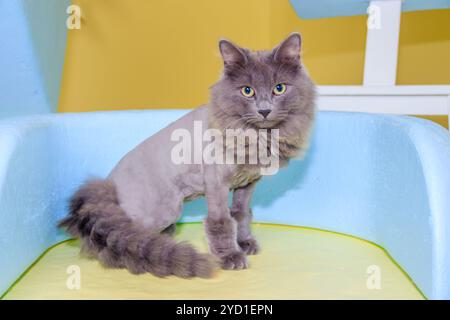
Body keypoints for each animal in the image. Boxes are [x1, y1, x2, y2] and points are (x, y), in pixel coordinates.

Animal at [58, 33, 314, 278]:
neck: (257, 135)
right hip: (164, 210)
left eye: (279, 88)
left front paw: (244, 243)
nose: (264, 110)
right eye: (247, 91)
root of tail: (108, 186)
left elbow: (240, 213)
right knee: (123, 237)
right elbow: (221, 222)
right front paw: (230, 257)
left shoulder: (247, 182)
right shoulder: (216, 182)